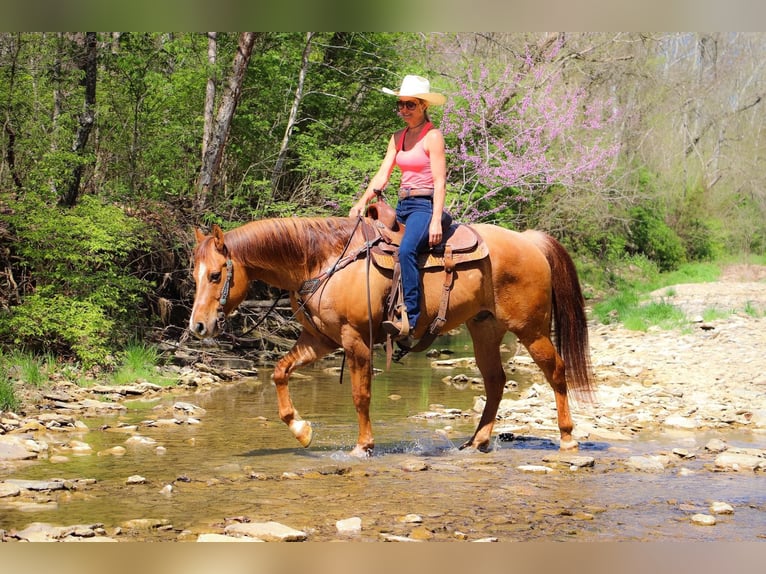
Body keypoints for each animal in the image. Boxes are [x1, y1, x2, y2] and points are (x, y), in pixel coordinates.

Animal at [189, 216, 596, 460]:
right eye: (194, 275)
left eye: (215, 275)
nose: (198, 326)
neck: (322, 264)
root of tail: (529, 240)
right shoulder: (319, 339)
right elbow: (279, 371)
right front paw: (301, 430)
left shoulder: (354, 340)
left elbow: (361, 395)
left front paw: (363, 446)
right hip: (484, 328)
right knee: (495, 381)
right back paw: (476, 442)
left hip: (531, 329)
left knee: (556, 371)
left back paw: (567, 438)